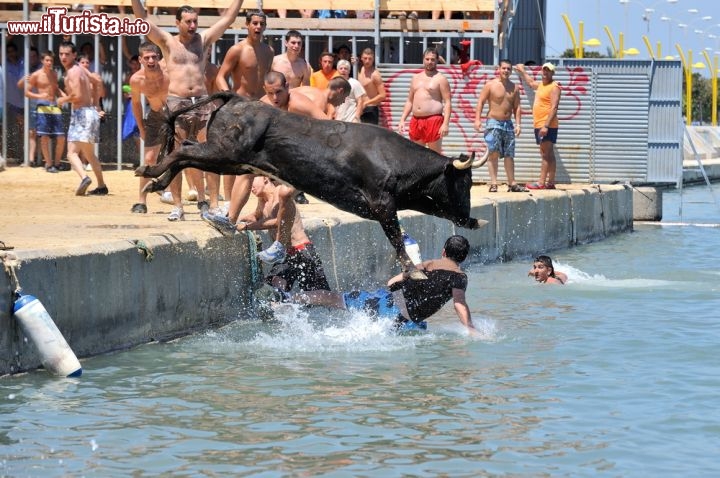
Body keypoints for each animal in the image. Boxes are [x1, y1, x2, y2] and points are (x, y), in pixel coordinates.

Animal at [138, 92, 486, 276]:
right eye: (464, 182)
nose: (467, 214)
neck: (392, 157)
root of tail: (235, 97)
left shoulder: (404, 200)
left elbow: (431, 214)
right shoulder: (382, 204)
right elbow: (397, 239)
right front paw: (412, 269)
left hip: (228, 160)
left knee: (185, 152)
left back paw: (156, 181)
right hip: (224, 152)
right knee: (182, 151)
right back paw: (149, 170)